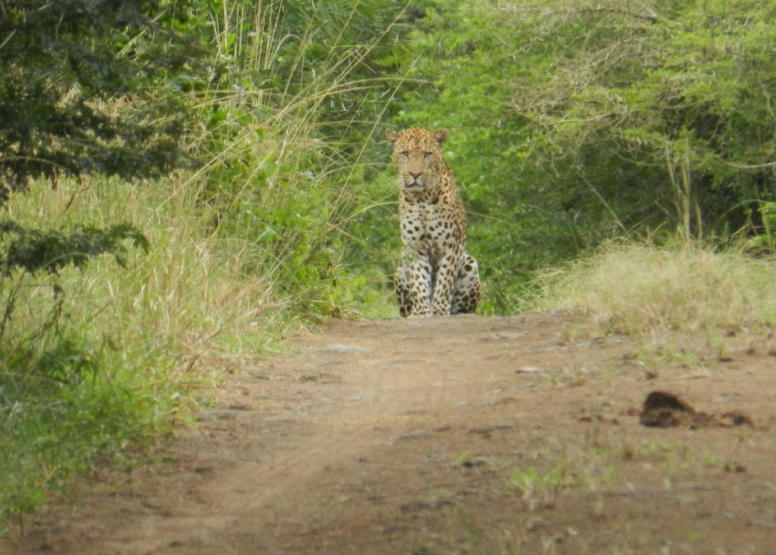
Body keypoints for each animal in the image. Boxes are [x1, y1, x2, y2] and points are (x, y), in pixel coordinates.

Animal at [384, 126, 476, 318]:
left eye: (427, 154)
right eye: (405, 154)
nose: (415, 174)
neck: (422, 199)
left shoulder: (452, 246)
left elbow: (445, 281)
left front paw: (440, 310)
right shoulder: (414, 246)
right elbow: (419, 280)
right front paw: (422, 312)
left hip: (470, 264)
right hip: (400, 270)